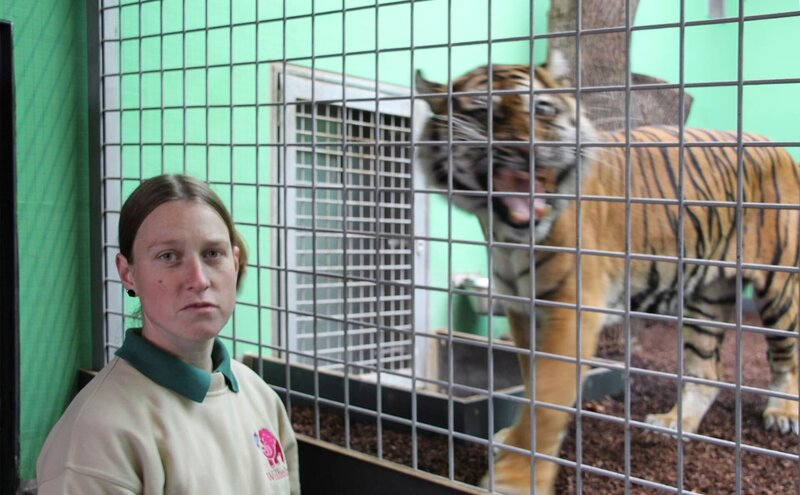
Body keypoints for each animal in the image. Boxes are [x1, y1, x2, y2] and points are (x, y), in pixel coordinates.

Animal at [415, 63, 799, 495]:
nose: (526, 149)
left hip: (778, 285)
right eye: (483, 111)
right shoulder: (523, 309)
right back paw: (673, 423)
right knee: (707, 374)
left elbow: (547, 396)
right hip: (706, 298)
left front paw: (517, 477)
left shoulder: (571, 309)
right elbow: (532, 382)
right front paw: (513, 442)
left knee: (785, 356)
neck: (507, 232)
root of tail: (777, 145)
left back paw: (783, 412)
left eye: (541, 108)